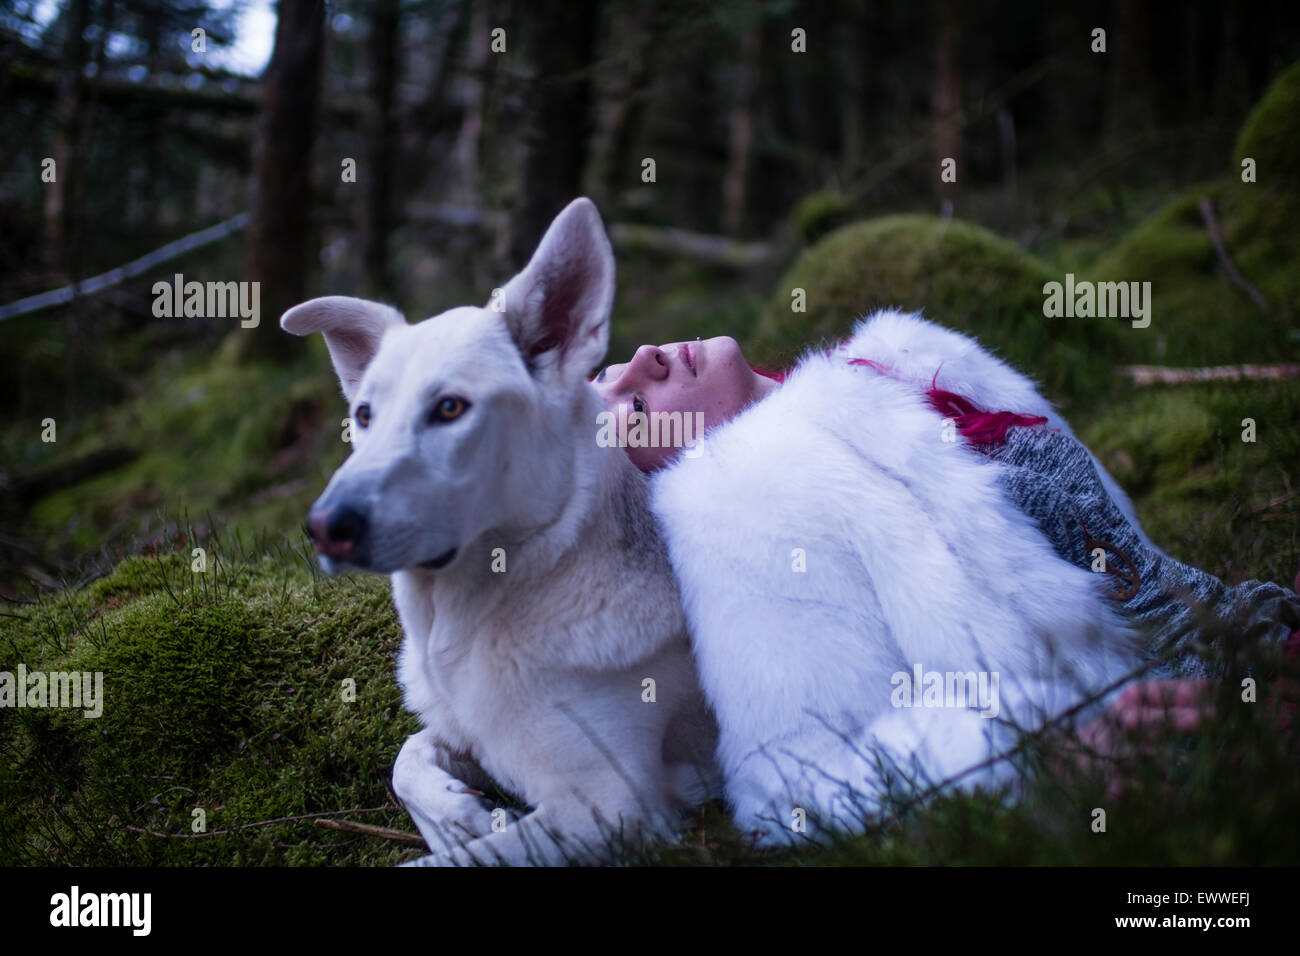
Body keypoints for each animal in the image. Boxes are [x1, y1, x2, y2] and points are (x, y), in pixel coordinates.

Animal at [280, 197, 722, 863]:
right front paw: (455, 812)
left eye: (450, 408)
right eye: (364, 415)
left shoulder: (610, 807)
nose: (324, 527)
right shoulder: (465, 730)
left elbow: (447, 862)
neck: (459, 621)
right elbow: (407, 757)